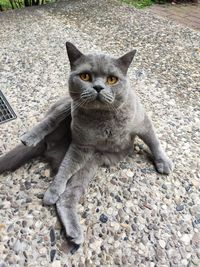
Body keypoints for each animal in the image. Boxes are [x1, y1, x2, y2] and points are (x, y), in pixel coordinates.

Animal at [0, 42, 172, 247]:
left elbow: (154, 140)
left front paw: (163, 163)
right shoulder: (81, 145)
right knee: (51, 120)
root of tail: (49, 145)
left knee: (67, 197)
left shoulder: (142, 122)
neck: (105, 119)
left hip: (90, 164)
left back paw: (73, 233)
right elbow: (66, 168)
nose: (98, 87)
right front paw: (53, 191)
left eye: (112, 79)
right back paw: (30, 138)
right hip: (70, 105)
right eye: (85, 76)